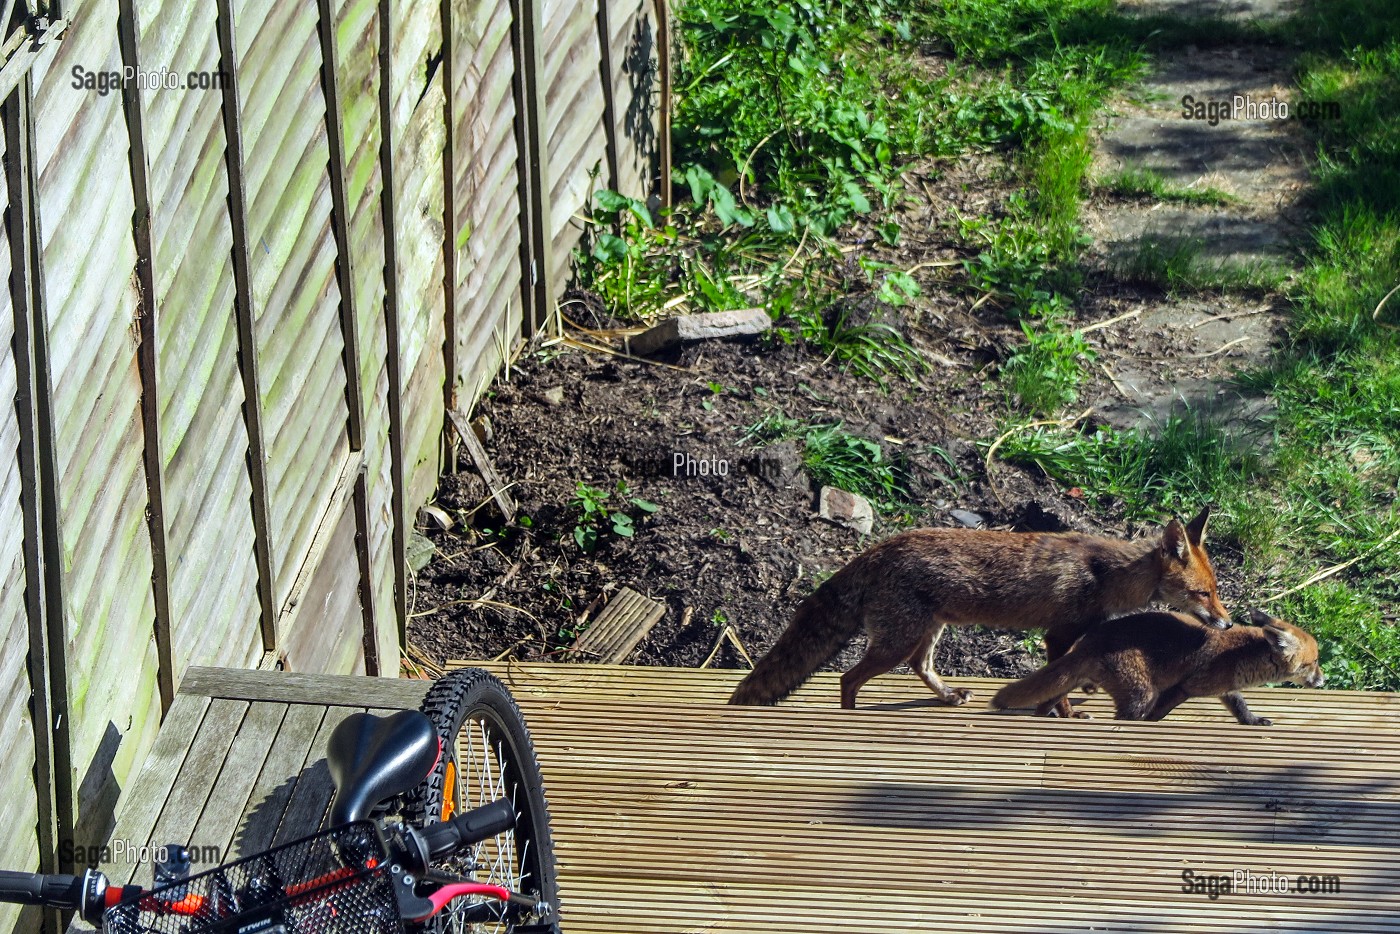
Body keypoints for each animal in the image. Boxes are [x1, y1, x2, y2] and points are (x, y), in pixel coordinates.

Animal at [728, 506, 1232, 711]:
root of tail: (877, 549)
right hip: (896, 641)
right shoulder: (1057, 634)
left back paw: (948, 697)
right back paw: (851, 717)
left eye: (1216, 590)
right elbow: (1058, 685)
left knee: (919, 667)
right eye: (1202, 594)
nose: (1227, 622)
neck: (1104, 574)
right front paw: (1066, 714)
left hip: (927, 633)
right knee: (847, 678)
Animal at [991, 610, 1316, 728]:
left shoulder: (1225, 689)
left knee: (1046, 701)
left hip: (1073, 680)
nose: (1322, 680)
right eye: (1313, 663)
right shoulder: (1185, 686)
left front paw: (1254, 721)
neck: (1240, 654)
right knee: (1129, 714)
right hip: (1140, 694)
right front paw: (1155, 724)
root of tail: (1091, 641)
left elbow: (1241, 708)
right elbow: (1159, 714)